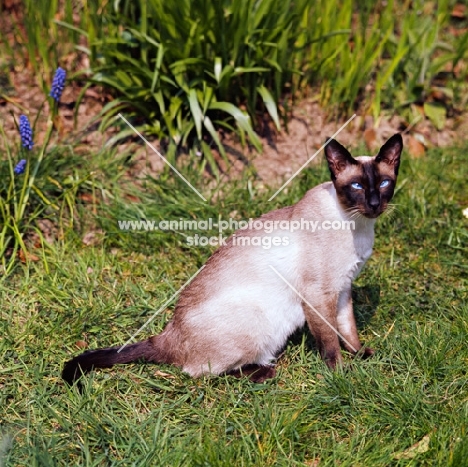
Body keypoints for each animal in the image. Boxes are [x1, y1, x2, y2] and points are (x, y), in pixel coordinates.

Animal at [63, 133, 402, 388]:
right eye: (357, 186)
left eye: (384, 184)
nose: (374, 204)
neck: (357, 226)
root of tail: (166, 336)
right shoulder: (319, 294)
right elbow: (330, 341)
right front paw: (340, 375)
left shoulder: (343, 289)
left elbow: (348, 330)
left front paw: (360, 356)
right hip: (257, 316)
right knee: (198, 372)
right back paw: (264, 373)